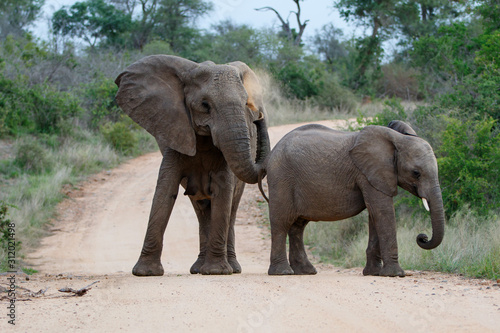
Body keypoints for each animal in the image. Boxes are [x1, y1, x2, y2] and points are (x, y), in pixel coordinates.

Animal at [114, 55, 270, 276]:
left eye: (244, 102)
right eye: (205, 105)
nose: (259, 116)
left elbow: (223, 192)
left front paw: (216, 272)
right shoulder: (175, 133)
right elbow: (164, 191)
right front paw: (145, 273)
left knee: (231, 208)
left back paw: (232, 268)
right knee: (200, 208)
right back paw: (198, 268)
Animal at [258, 120, 446, 276]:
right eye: (416, 173)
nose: (422, 237)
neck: (397, 139)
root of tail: (270, 156)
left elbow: (374, 215)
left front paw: (373, 273)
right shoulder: (366, 173)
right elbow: (382, 212)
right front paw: (395, 274)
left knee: (298, 226)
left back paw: (306, 271)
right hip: (282, 178)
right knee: (281, 222)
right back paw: (282, 273)